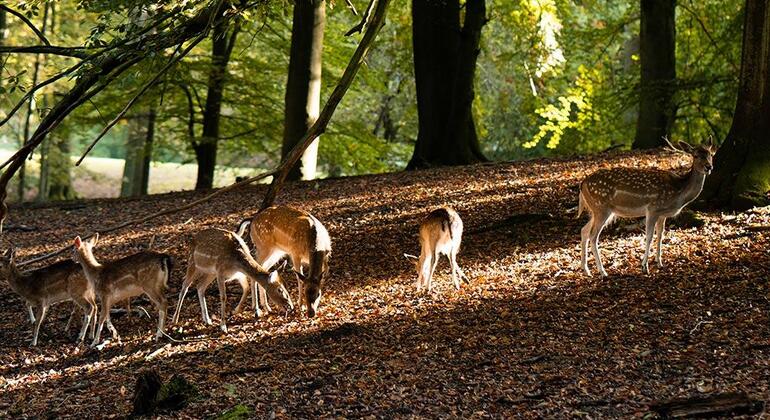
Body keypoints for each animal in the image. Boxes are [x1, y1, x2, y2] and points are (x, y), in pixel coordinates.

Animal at [577, 137, 717, 277]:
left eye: (711, 154)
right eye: (696, 155)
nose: (709, 167)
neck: (678, 192)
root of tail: (582, 184)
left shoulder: (662, 214)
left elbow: (660, 234)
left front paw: (659, 263)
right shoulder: (653, 209)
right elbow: (649, 236)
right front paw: (644, 266)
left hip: (597, 210)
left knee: (584, 230)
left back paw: (586, 270)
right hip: (601, 207)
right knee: (593, 236)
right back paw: (602, 271)